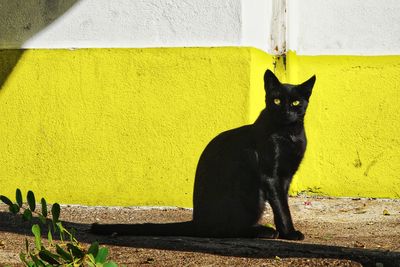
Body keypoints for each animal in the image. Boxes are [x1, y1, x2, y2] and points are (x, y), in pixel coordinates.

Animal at [91, 69, 316, 241]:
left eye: (296, 103)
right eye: (276, 100)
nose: (286, 111)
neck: (289, 134)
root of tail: (196, 221)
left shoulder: (286, 176)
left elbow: (282, 206)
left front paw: (285, 231)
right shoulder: (270, 175)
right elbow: (282, 207)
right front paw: (290, 233)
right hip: (250, 189)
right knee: (223, 231)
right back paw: (262, 231)